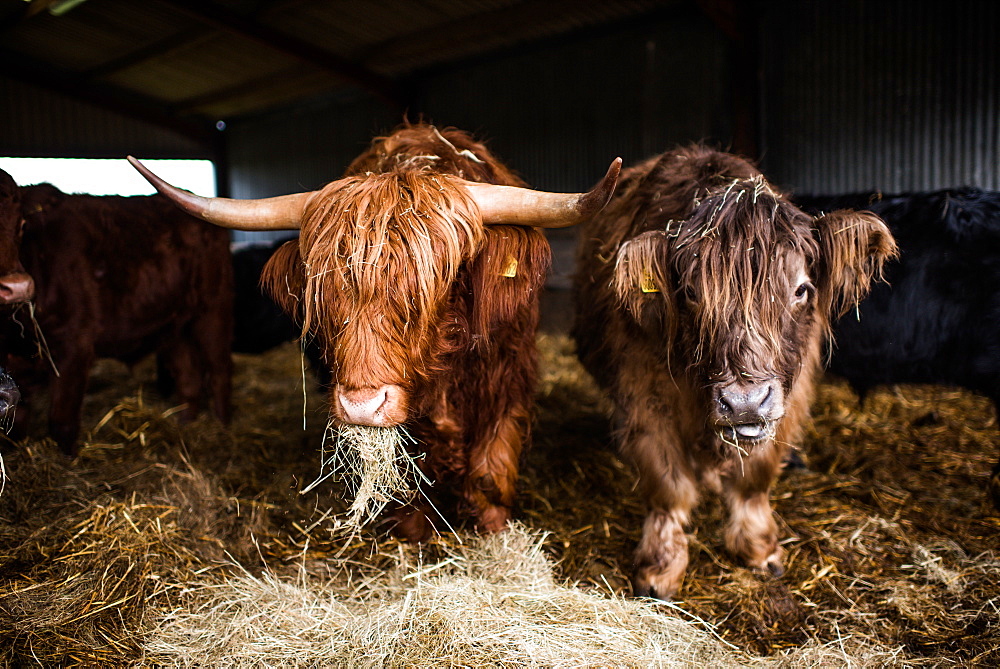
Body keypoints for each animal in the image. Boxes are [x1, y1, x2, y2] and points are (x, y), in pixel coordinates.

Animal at [0, 175, 232, 454]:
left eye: (22, 225)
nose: (17, 287)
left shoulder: (74, 348)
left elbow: (62, 423)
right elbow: (15, 427)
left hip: (212, 311)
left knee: (219, 373)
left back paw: (223, 429)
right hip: (175, 328)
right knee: (189, 381)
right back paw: (185, 428)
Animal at [131, 122, 616, 536]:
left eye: (439, 283)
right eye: (323, 290)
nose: (362, 405)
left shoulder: (507, 383)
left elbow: (490, 473)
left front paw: (495, 537)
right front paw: (410, 536)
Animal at [576, 146, 896, 596]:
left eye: (801, 289)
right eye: (691, 292)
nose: (744, 402)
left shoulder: (788, 401)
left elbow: (755, 478)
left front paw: (760, 549)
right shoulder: (645, 400)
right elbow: (667, 484)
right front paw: (659, 570)